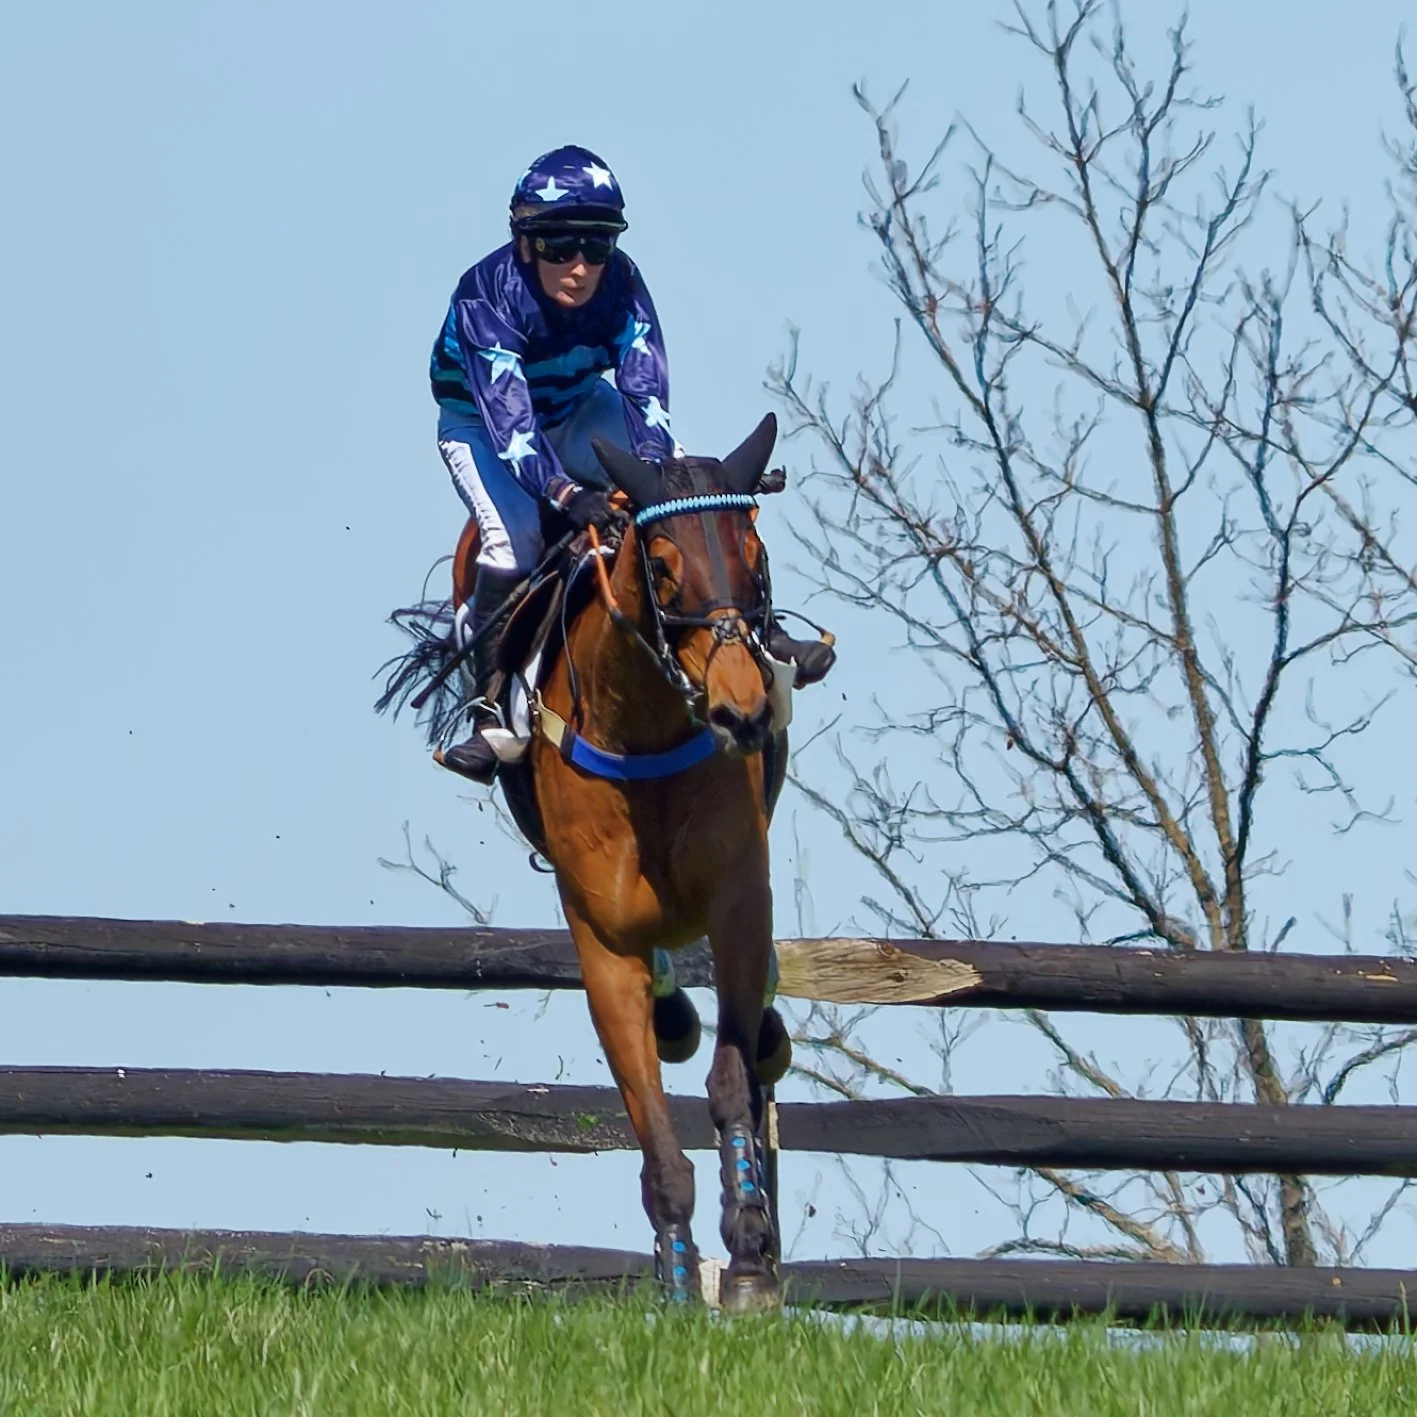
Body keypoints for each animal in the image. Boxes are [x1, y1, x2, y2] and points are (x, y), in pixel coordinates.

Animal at [452, 413, 795, 1312]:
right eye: (663, 566)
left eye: (755, 553)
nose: (741, 710)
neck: (643, 727)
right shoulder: (603, 941)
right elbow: (650, 1124)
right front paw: (677, 1281)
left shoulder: (739, 902)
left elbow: (731, 1081)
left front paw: (749, 1259)